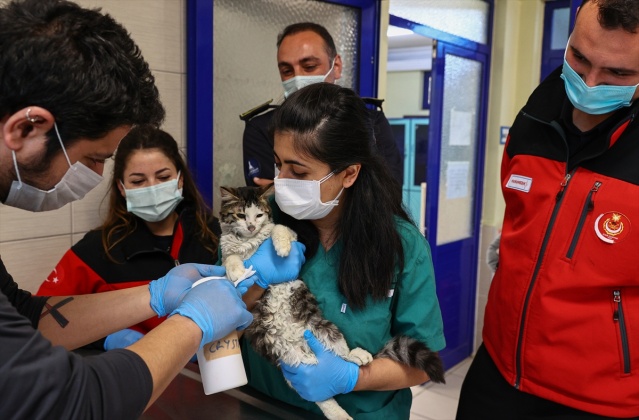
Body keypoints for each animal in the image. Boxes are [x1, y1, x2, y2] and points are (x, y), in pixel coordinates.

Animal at [219, 186, 444, 420]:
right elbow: (230, 259)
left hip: (325, 329)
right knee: (319, 394)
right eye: (241, 215)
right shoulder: (225, 251)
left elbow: (279, 229)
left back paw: (357, 357)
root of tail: (305, 347)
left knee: (341, 358)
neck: (249, 242)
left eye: (259, 215)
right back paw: (338, 412)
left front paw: (282, 249)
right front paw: (237, 272)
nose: (251, 226)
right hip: (289, 363)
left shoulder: (290, 234)